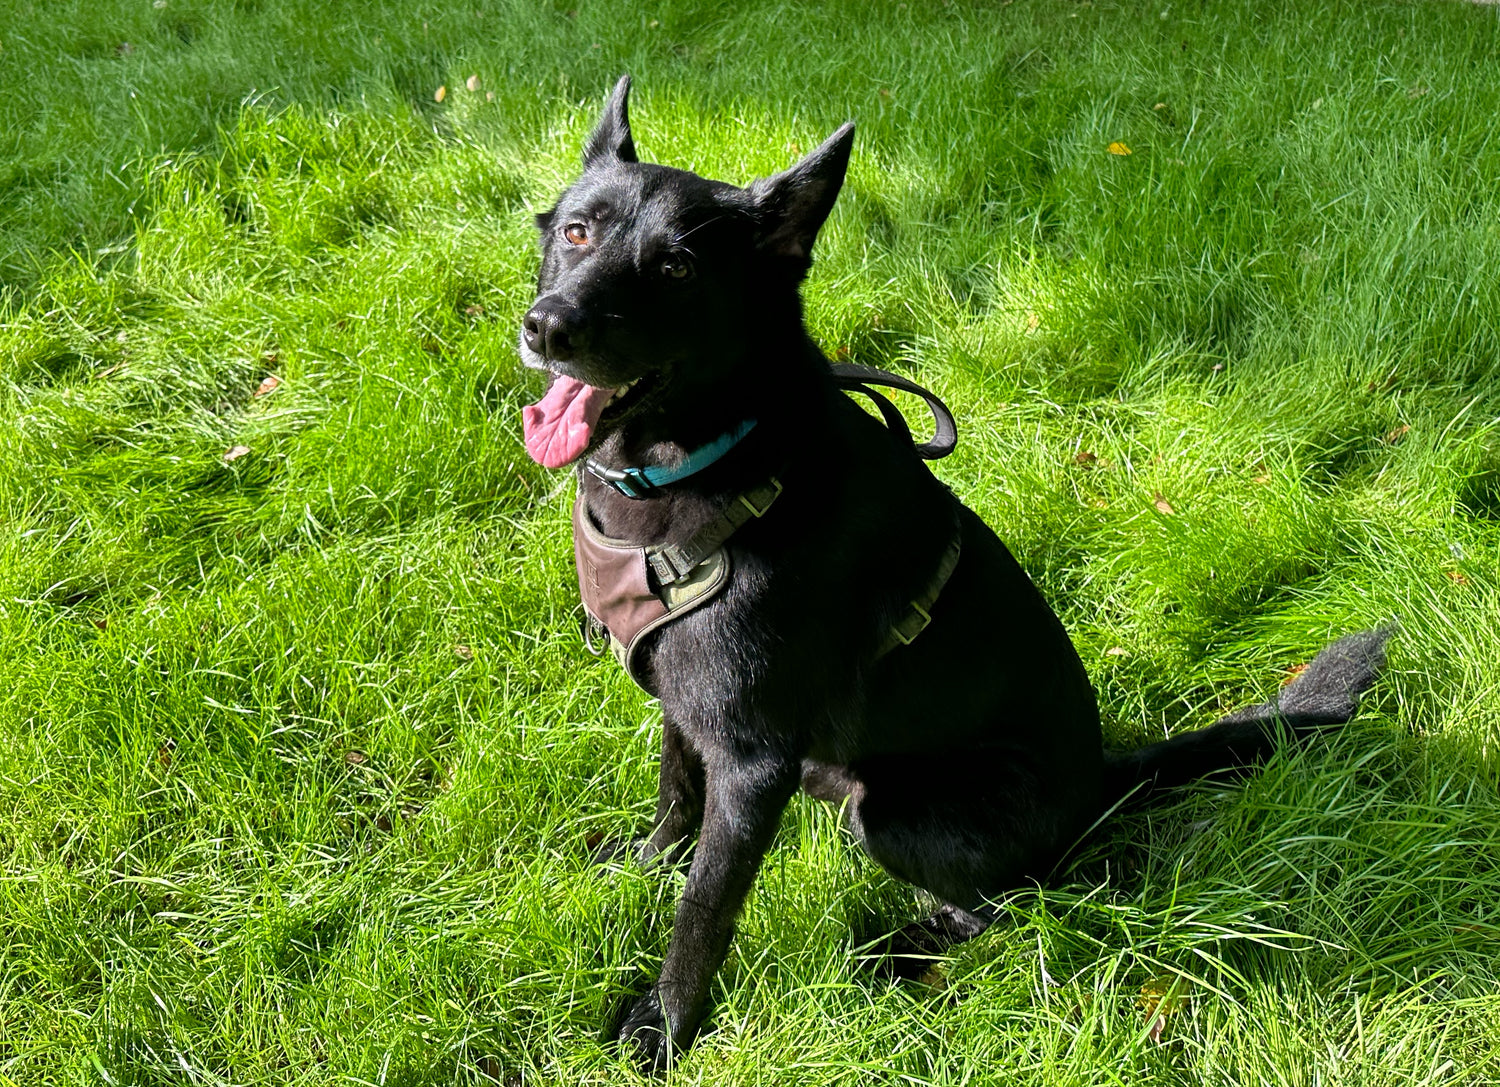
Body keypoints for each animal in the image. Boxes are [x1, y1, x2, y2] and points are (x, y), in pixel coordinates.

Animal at [519, 78, 1392, 1067]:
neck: (709, 456)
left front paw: (664, 1025)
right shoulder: (686, 704)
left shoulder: (751, 763)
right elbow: (675, 799)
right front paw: (643, 867)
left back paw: (894, 948)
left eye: (675, 269)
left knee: (1010, 902)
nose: (548, 328)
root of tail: (1101, 781)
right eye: (577, 231)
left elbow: (703, 908)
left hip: (898, 812)